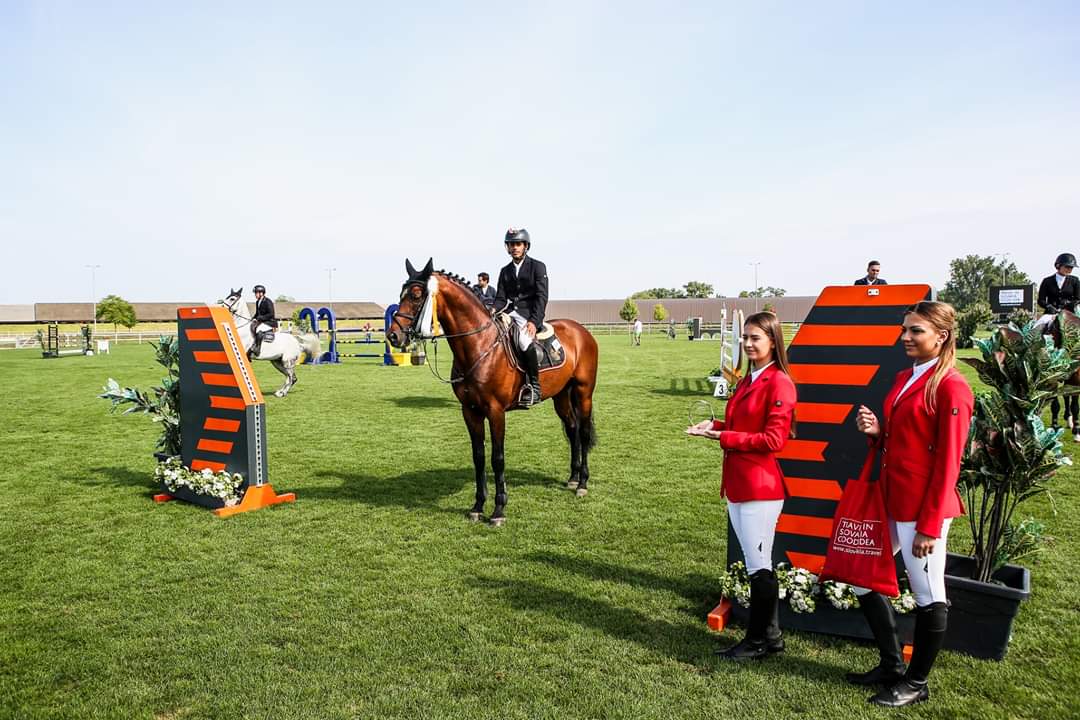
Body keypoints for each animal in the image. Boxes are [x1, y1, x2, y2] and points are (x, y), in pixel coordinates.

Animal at [384, 262, 600, 526]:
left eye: (416, 296)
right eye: (401, 295)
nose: (393, 336)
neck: (479, 346)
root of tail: (581, 330)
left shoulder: (496, 412)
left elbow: (497, 458)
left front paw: (498, 510)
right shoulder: (470, 411)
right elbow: (478, 456)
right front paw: (477, 506)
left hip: (583, 392)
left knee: (584, 432)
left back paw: (582, 484)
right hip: (561, 396)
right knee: (572, 430)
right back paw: (572, 477)